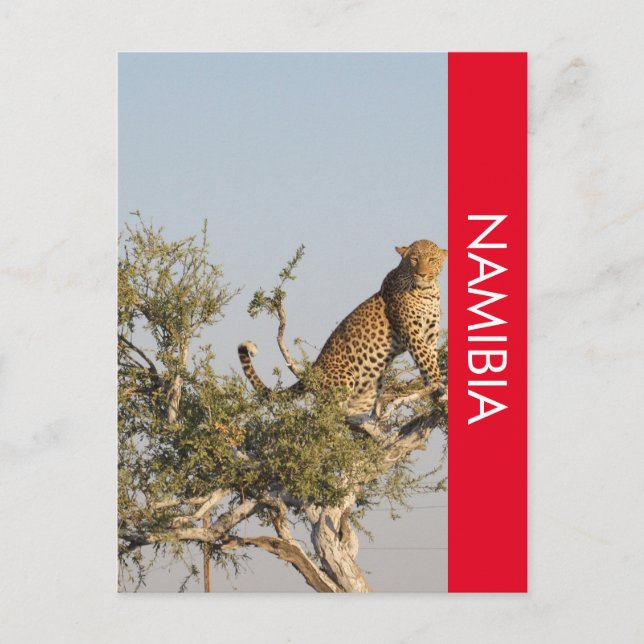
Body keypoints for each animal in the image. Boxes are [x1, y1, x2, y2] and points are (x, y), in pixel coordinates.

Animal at [238, 239, 447, 418]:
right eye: (414, 259)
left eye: (432, 260)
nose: (422, 274)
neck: (427, 292)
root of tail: (314, 370)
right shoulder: (413, 334)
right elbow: (427, 362)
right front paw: (439, 385)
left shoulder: (430, 336)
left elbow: (431, 359)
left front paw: (435, 390)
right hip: (343, 380)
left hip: (368, 392)